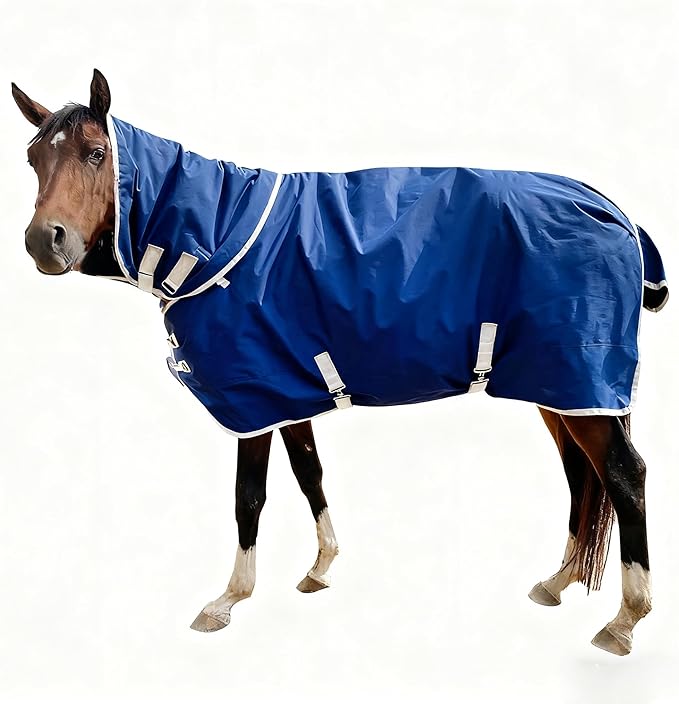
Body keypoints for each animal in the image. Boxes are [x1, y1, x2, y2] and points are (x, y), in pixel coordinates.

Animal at [12, 69, 668, 656]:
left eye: (97, 153)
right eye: (32, 159)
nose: (45, 241)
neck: (219, 239)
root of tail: (612, 210)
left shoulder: (252, 397)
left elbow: (248, 496)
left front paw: (227, 600)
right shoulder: (287, 393)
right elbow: (310, 474)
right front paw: (320, 567)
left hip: (580, 386)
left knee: (624, 477)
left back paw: (624, 621)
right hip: (558, 388)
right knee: (581, 475)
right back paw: (556, 583)